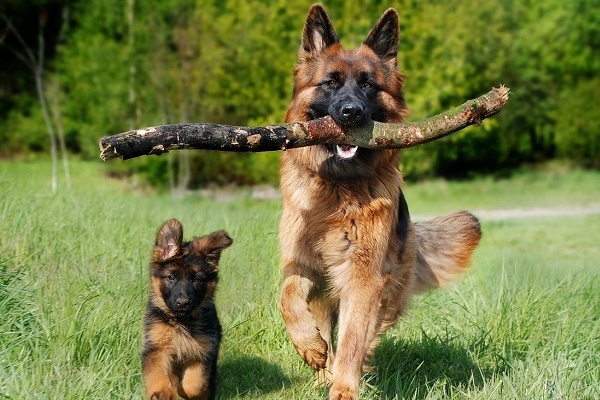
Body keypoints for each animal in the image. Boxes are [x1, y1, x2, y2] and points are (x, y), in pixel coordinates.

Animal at [142, 219, 233, 400]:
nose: (183, 302)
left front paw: (183, 390)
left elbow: (194, 385)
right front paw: (163, 392)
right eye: (171, 277)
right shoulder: (156, 348)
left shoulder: (204, 352)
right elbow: (158, 374)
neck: (182, 321)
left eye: (196, 279)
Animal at [280, 3, 482, 400]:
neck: (338, 188)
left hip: (386, 290)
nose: (351, 113)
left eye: (368, 85)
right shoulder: (302, 264)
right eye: (331, 82)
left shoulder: (363, 277)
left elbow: (353, 340)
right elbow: (288, 297)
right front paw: (309, 347)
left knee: (365, 335)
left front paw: (344, 389)